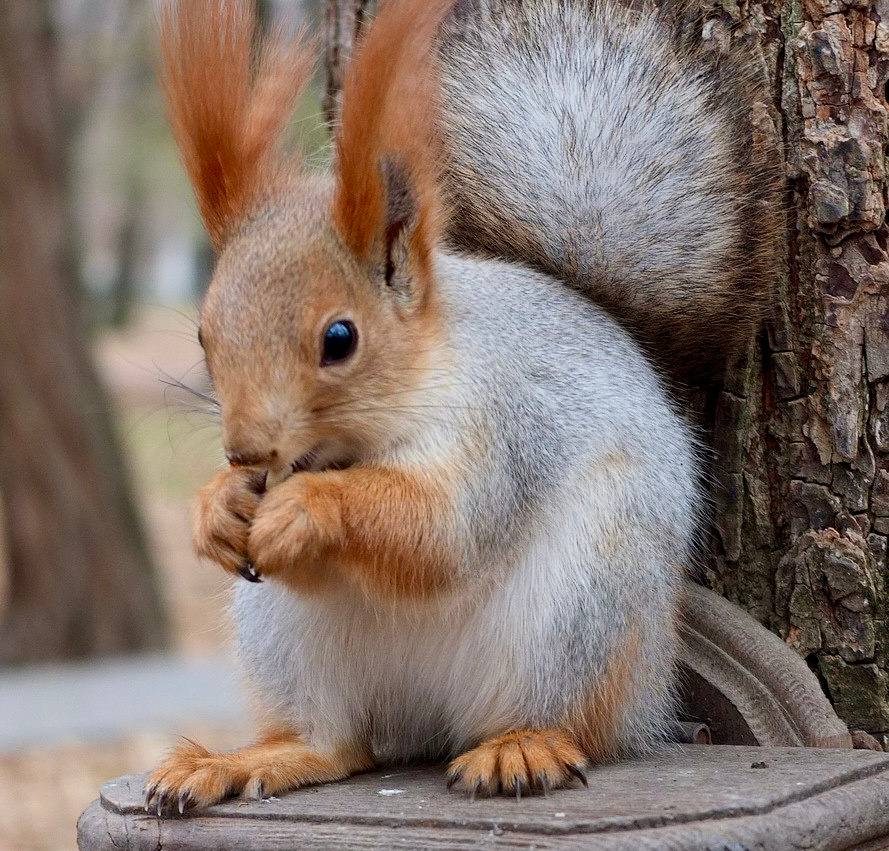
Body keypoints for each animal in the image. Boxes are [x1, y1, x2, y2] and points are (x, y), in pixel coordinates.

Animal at [145, 0, 779, 814]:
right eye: (203, 332)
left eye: (340, 338)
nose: (246, 452)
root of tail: (430, 715)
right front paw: (218, 506)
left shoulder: (503, 425)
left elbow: (442, 529)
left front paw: (309, 507)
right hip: (286, 634)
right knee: (341, 743)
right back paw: (244, 760)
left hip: (580, 605)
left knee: (573, 719)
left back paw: (524, 747)